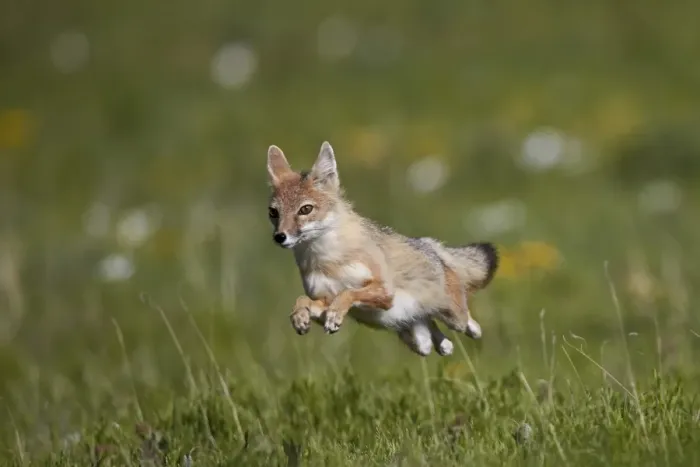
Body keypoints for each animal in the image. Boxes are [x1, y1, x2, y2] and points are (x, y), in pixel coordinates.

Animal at [266, 141, 499, 357]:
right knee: (435, 340)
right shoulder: (323, 299)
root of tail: (431, 246)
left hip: (455, 319)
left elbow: (348, 293)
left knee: (471, 327)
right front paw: (299, 316)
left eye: (305, 209)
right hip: (417, 342)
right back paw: (444, 345)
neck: (328, 261)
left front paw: (334, 315)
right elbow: (303, 299)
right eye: (273, 212)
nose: (280, 237)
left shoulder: (384, 292)